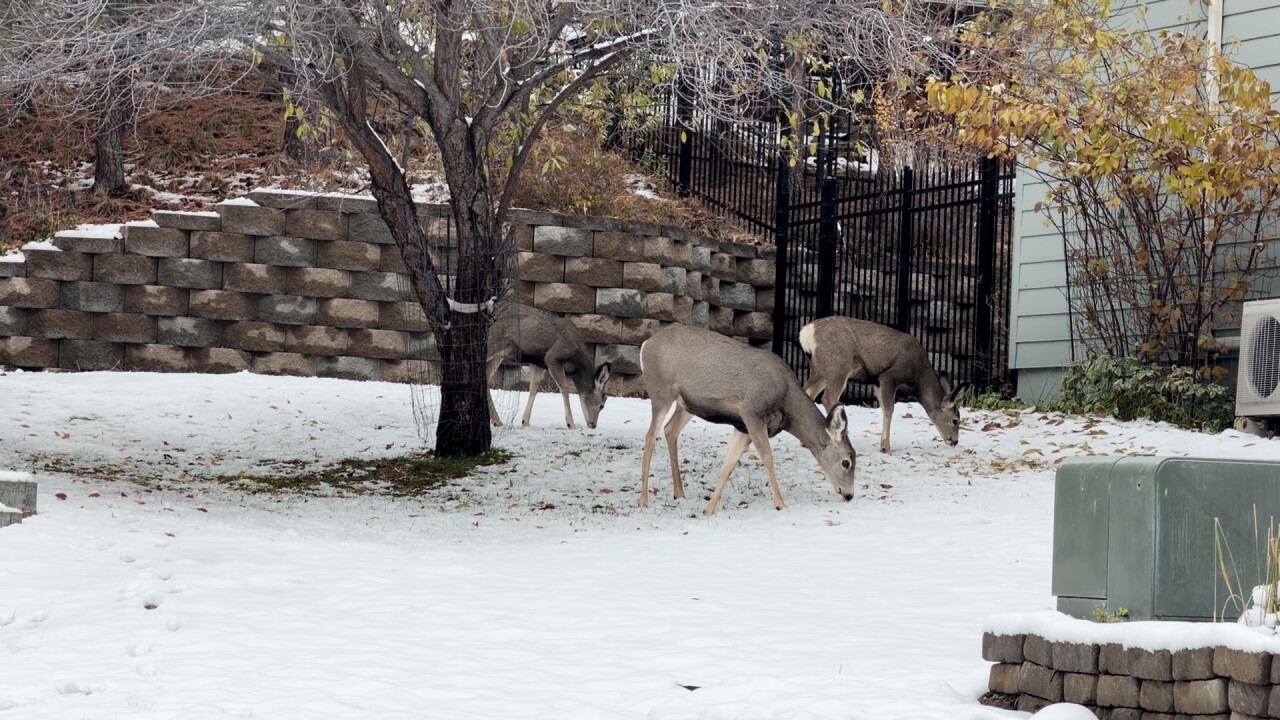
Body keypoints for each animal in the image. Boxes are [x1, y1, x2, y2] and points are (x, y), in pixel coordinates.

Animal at [485, 300, 610, 430]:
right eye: (602, 405)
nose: (593, 424)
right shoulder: (552, 357)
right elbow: (565, 387)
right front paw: (571, 424)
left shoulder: (538, 363)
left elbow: (534, 387)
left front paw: (525, 422)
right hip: (492, 342)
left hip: (501, 353)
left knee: (486, 377)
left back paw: (497, 421)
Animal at [638, 324, 857, 515]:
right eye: (846, 462)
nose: (849, 495)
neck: (787, 404)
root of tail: (646, 344)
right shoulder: (752, 411)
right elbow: (767, 457)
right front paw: (781, 504)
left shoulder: (742, 426)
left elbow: (729, 464)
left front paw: (708, 509)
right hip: (660, 390)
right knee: (650, 436)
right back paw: (643, 500)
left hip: (687, 404)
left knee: (670, 429)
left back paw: (679, 494)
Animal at [798, 316, 967, 454]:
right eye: (955, 420)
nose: (955, 441)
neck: (918, 376)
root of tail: (806, 333)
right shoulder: (889, 376)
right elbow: (889, 409)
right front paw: (885, 447)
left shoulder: (877, 383)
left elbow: (884, 409)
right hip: (838, 365)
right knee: (828, 398)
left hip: (820, 369)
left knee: (807, 392)